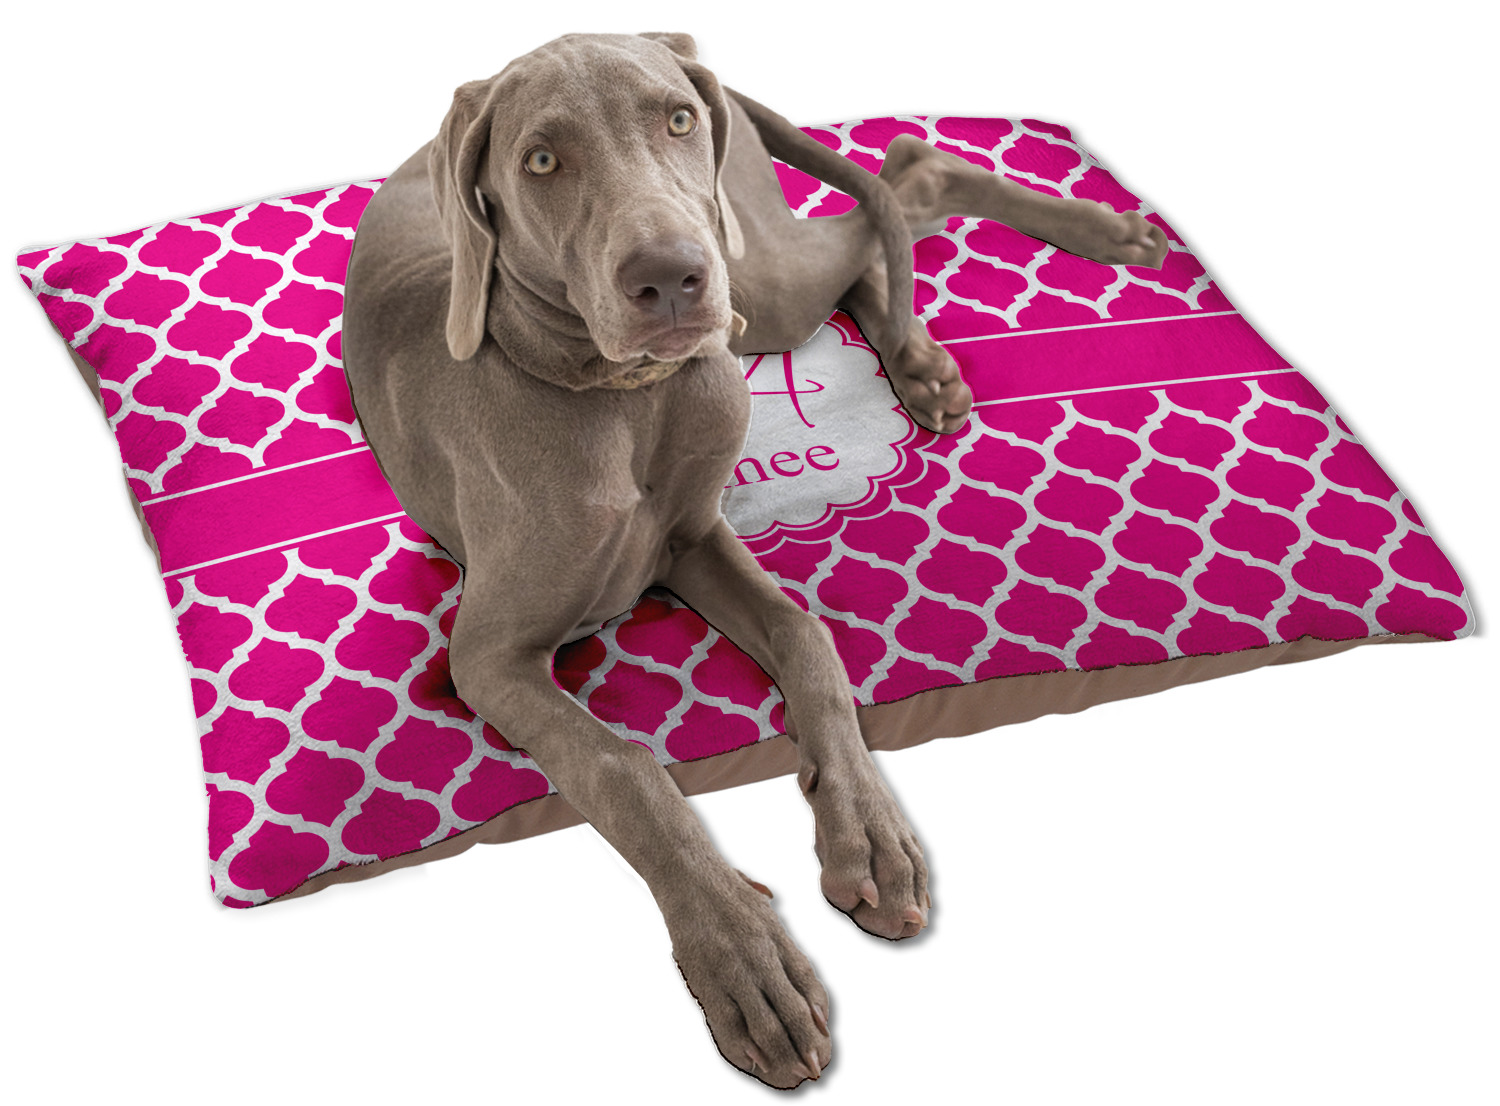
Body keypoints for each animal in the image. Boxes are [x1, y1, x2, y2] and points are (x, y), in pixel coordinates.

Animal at [342, 31, 1167, 1088]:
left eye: (675, 121)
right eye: (541, 161)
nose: (671, 279)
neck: (624, 399)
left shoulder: (697, 541)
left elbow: (806, 635)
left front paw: (871, 834)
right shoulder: (487, 655)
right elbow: (623, 767)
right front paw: (743, 960)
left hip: (755, 275)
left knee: (899, 179)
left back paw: (1093, 244)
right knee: (883, 211)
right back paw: (932, 354)